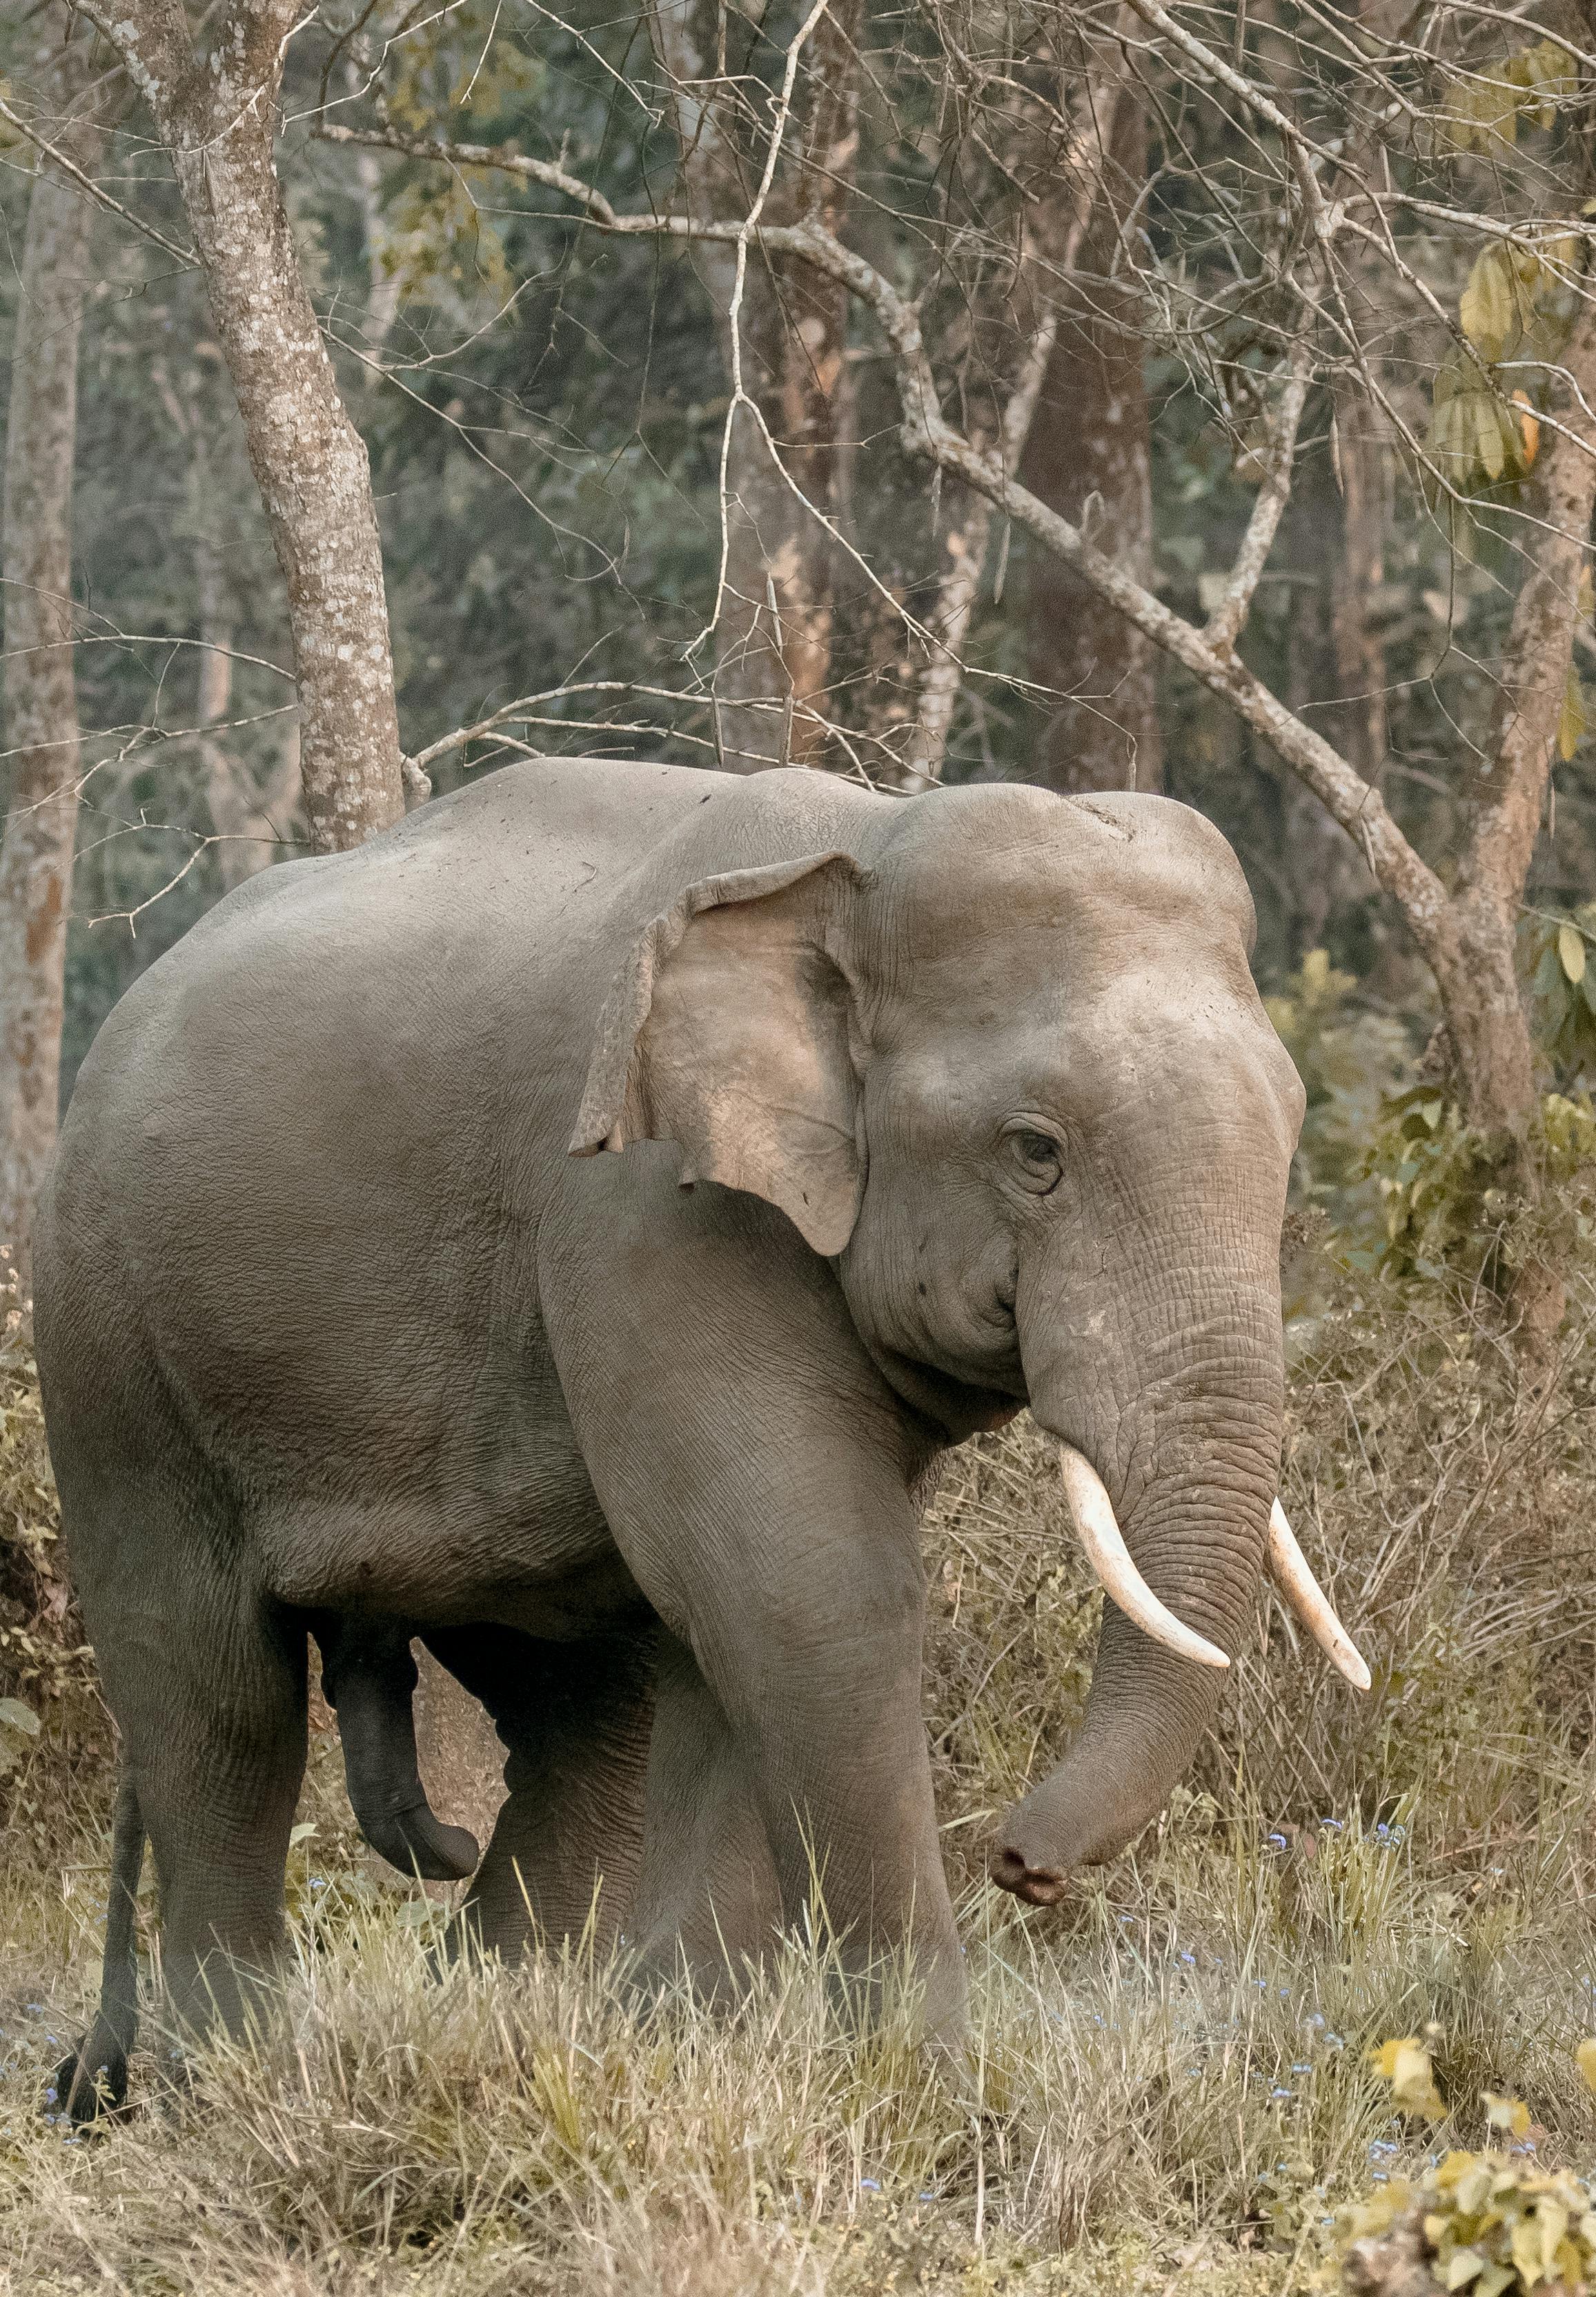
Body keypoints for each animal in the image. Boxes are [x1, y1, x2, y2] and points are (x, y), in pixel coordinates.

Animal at [34, 757, 1367, 2120]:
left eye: (1289, 1134)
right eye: (1033, 1149)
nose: (1020, 1863)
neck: (863, 844)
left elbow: (738, 1619)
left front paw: (696, 2049)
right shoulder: (648, 1212)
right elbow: (808, 1591)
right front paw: (926, 2100)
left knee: (588, 1713)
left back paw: (502, 2023)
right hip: (108, 1338)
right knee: (214, 1693)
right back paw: (222, 2084)